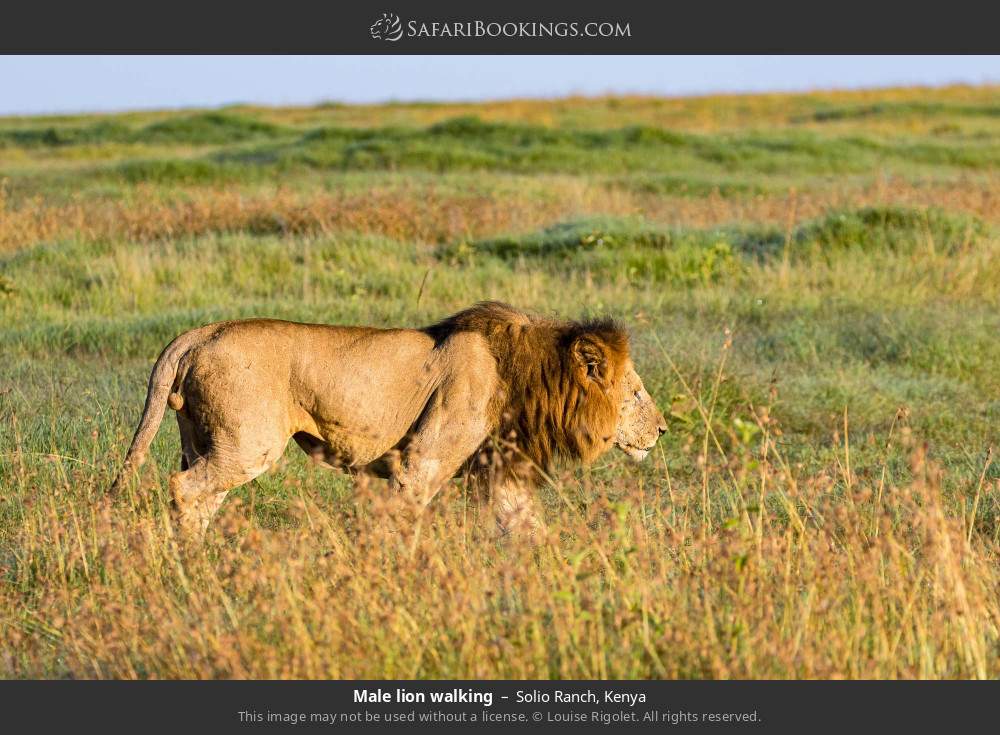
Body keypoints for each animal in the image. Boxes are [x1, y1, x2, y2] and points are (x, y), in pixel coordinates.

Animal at [111, 304, 664, 540]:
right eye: (636, 393)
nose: (662, 430)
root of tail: (200, 332)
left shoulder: (500, 468)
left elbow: (524, 524)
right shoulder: (421, 461)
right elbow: (406, 519)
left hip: (204, 440)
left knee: (201, 496)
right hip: (248, 444)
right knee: (183, 487)